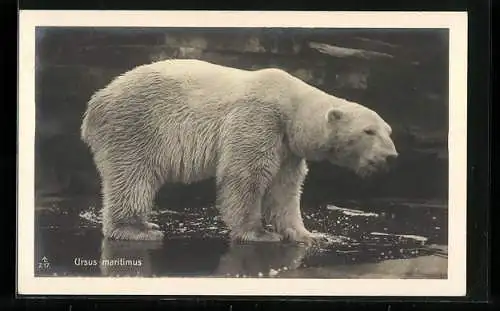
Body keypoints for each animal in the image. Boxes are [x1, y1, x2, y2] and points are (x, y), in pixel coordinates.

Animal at [80, 58, 396, 244]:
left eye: (388, 131)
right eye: (369, 131)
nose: (391, 157)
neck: (291, 105)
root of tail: (95, 103)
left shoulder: (287, 147)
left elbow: (284, 189)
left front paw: (307, 234)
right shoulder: (259, 118)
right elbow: (246, 175)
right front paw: (259, 233)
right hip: (136, 125)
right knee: (133, 176)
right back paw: (138, 229)